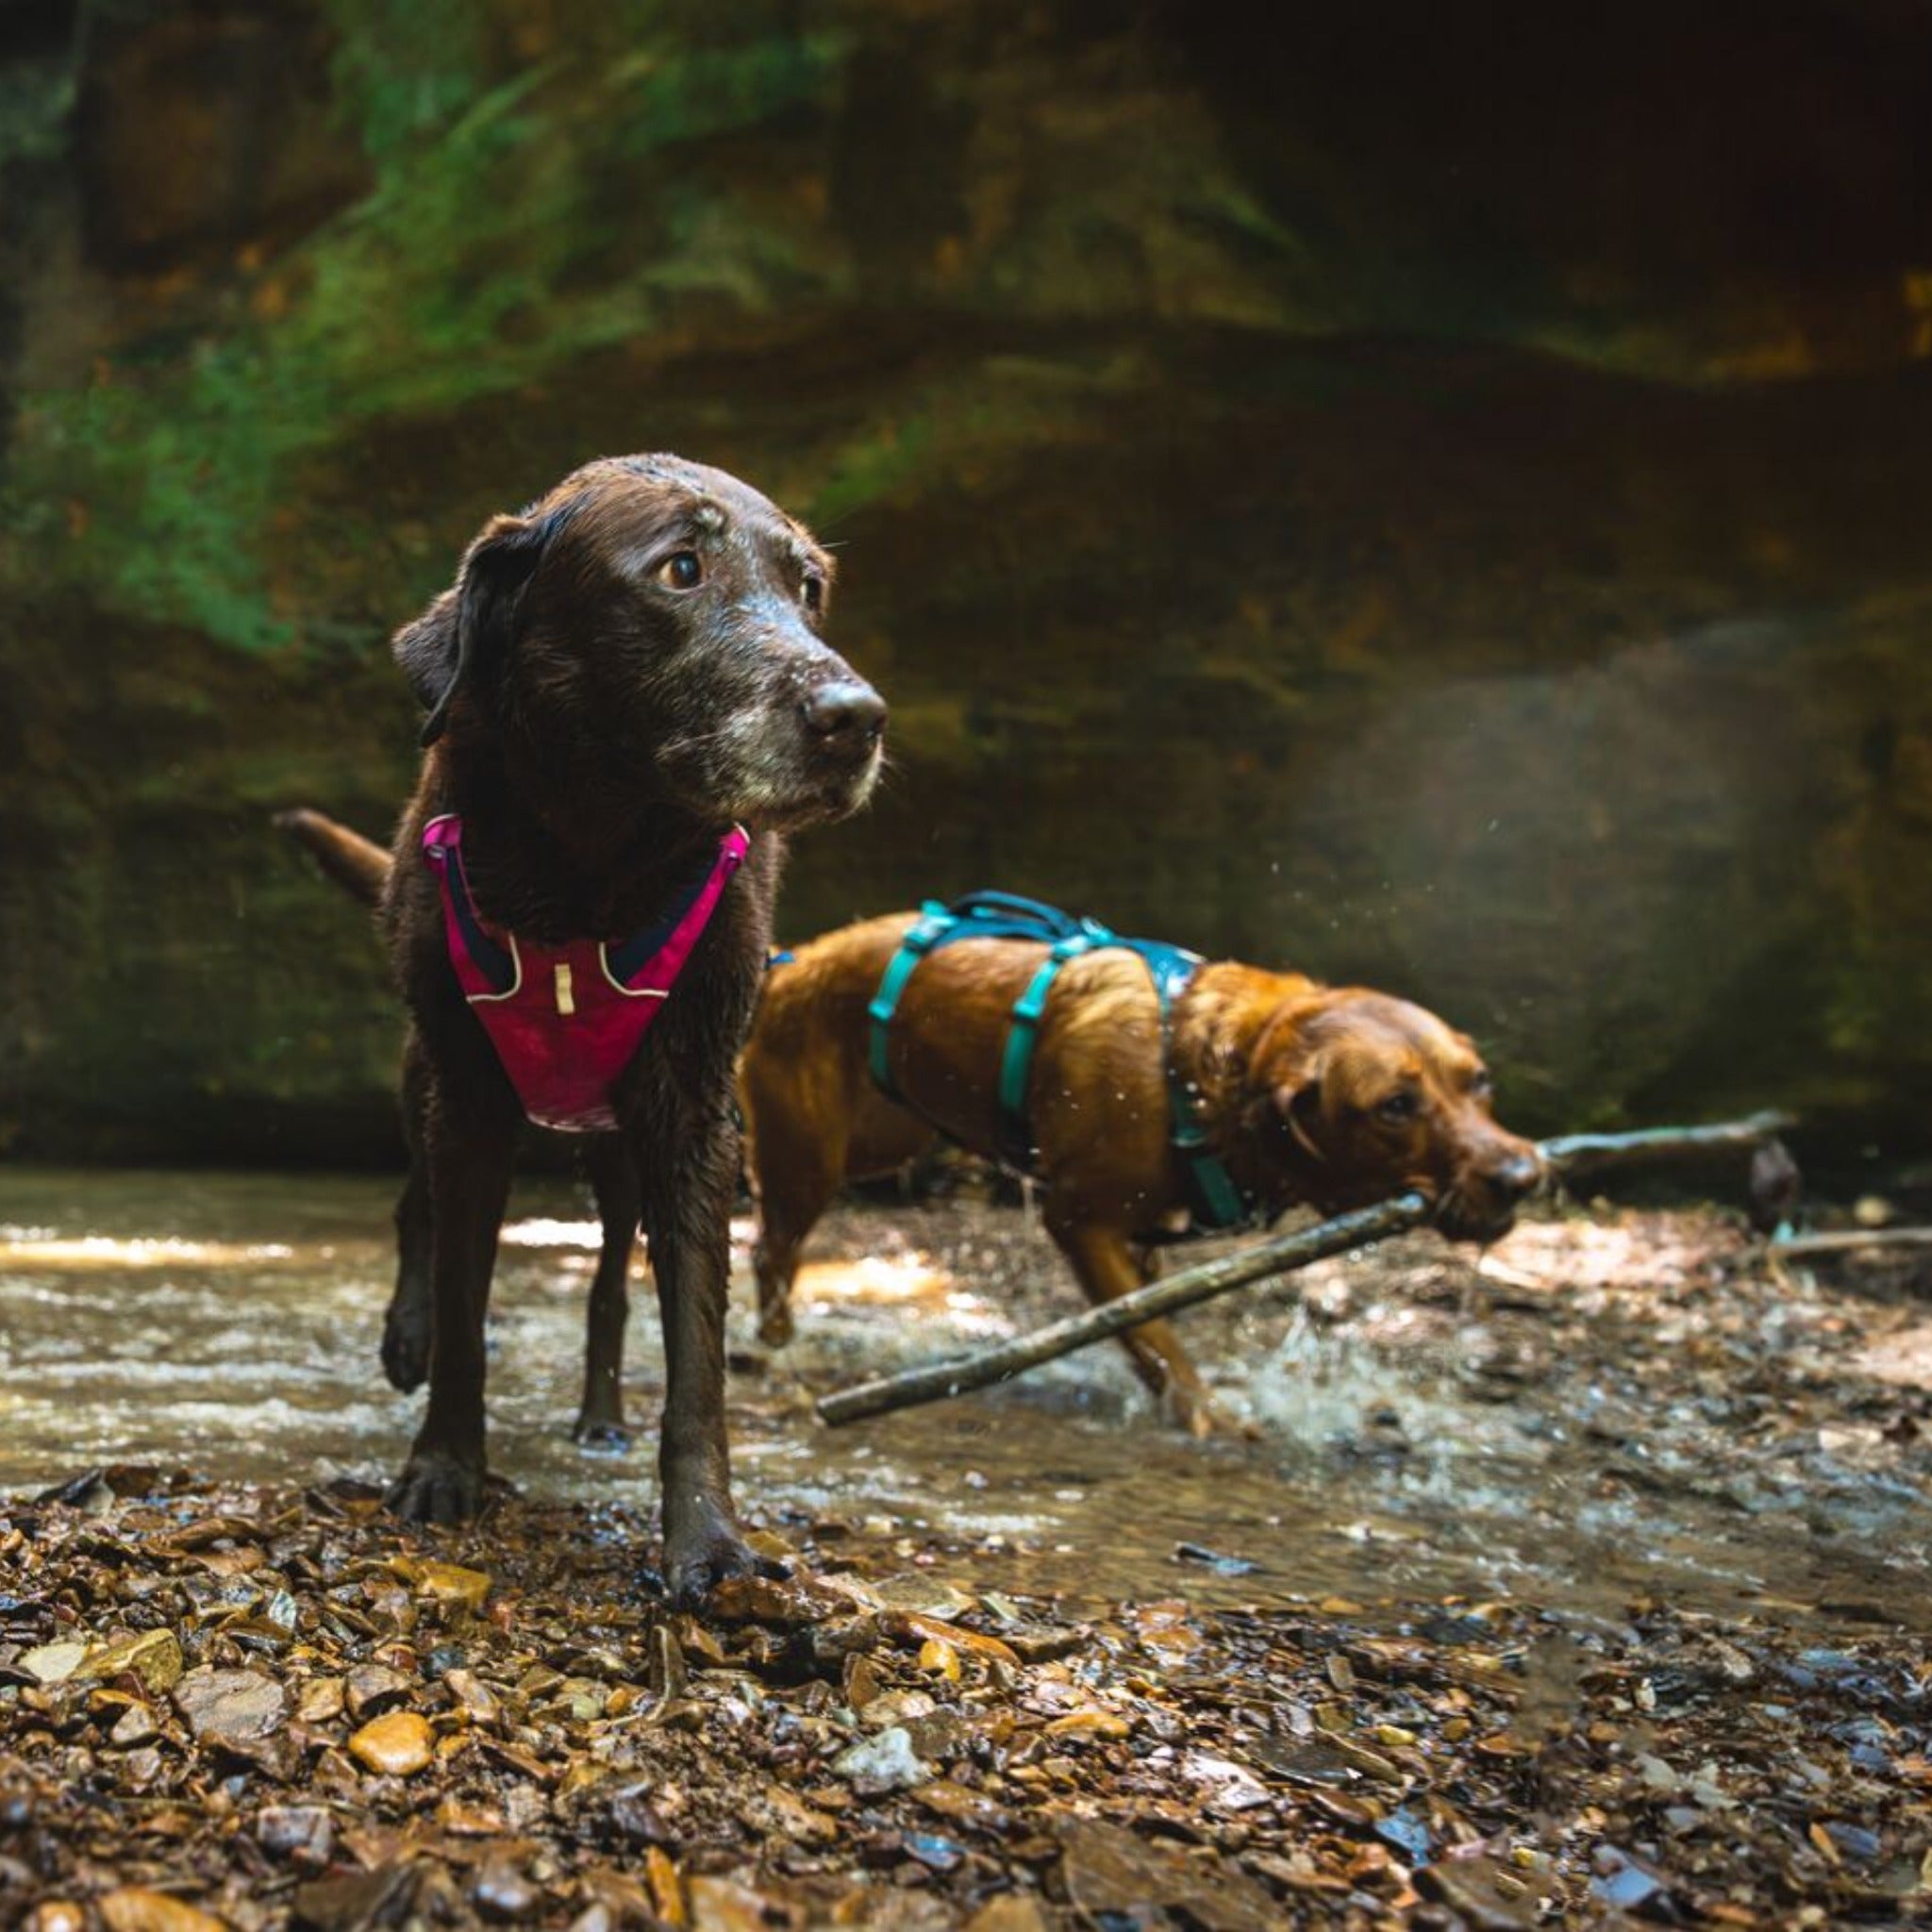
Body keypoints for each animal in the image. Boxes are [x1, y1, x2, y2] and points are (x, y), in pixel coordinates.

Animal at [738, 915, 1538, 1437]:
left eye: (1480, 1080)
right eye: (1395, 1106)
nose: (1523, 1175)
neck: (1205, 1071)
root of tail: (791, 961)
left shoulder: (1141, 1235)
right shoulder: (1080, 1221)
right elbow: (1152, 1333)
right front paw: (1203, 1414)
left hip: (889, 1135)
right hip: (810, 1156)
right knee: (771, 1248)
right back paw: (775, 1340)